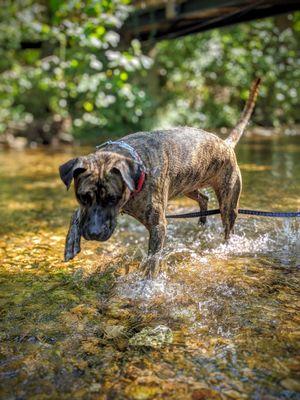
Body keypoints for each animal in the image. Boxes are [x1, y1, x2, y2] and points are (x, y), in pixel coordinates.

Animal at [59, 78, 260, 278]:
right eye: (82, 197)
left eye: (113, 199)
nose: (93, 233)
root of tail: (225, 144)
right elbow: (77, 213)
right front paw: (71, 242)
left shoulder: (158, 226)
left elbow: (152, 260)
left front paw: (147, 282)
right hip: (188, 186)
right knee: (204, 198)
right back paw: (202, 222)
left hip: (228, 201)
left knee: (227, 224)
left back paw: (226, 245)